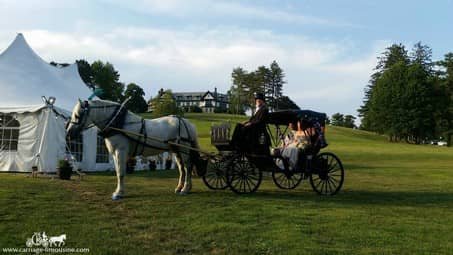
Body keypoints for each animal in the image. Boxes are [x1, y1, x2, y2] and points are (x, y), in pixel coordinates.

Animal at [65, 98, 203, 200]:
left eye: (77, 115)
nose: (68, 134)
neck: (118, 123)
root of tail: (187, 123)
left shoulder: (120, 151)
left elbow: (121, 173)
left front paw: (119, 194)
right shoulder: (114, 154)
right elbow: (118, 172)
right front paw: (117, 191)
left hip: (184, 151)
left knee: (188, 167)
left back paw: (185, 189)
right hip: (176, 151)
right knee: (181, 169)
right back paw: (179, 188)